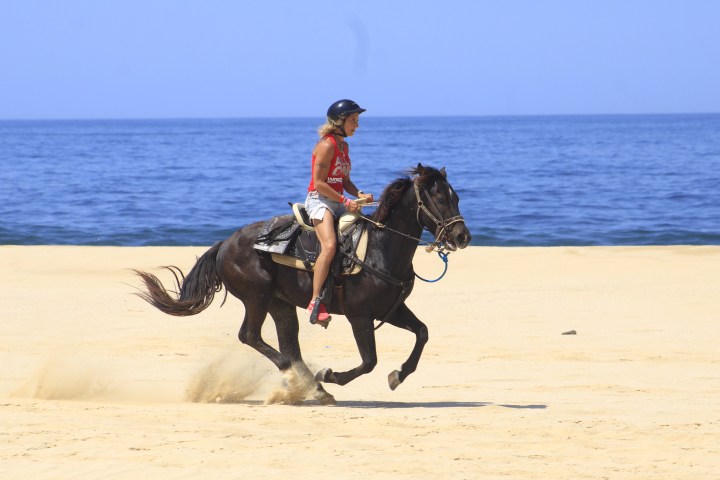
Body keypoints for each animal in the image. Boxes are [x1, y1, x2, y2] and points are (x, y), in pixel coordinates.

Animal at [135, 164, 471, 404]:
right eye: (440, 198)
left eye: (455, 197)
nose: (462, 236)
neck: (379, 248)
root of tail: (224, 245)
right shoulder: (359, 316)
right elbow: (369, 361)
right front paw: (330, 375)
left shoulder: (392, 309)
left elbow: (422, 333)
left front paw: (398, 375)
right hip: (256, 298)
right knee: (251, 337)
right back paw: (309, 383)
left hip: (280, 304)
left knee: (288, 345)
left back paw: (311, 387)